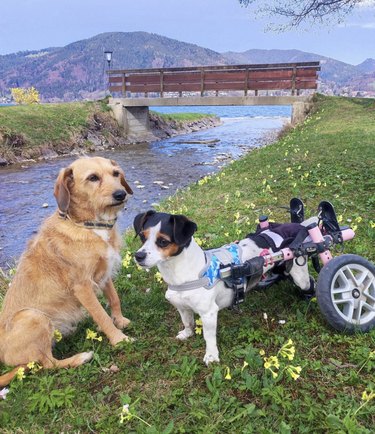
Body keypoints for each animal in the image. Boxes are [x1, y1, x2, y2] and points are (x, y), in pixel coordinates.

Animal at [0, 157, 134, 386]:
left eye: (116, 173)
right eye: (93, 178)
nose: (121, 194)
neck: (88, 224)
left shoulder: (103, 273)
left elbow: (114, 298)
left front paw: (120, 320)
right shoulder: (83, 287)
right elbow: (101, 314)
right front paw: (118, 339)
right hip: (32, 316)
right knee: (48, 364)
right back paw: (81, 357)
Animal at [134, 212, 312, 364]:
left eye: (163, 241)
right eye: (142, 236)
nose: (138, 256)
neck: (183, 274)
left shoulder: (209, 314)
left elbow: (209, 337)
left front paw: (211, 356)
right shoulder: (182, 307)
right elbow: (187, 322)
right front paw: (187, 333)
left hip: (301, 276)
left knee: (308, 283)